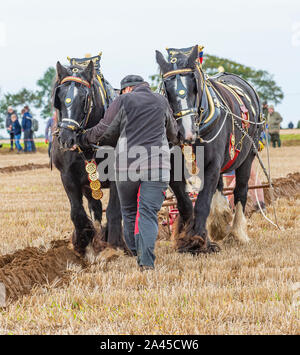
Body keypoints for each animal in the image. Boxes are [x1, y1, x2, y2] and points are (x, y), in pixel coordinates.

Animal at [156, 46, 264, 254]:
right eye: (167, 87)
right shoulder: (173, 163)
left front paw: (198, 239)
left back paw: (236, 232)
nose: (186, 132)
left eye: (194, 85)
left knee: (240, 191)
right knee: (220, 187)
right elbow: (184, 200)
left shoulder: (212, 162)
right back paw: (220, 221)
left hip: (248, 156)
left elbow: (203, 201)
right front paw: (186, 238)